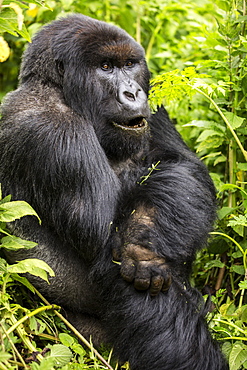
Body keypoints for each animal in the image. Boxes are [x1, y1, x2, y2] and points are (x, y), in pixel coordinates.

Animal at [0, 13, 229, 370]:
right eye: (105, 67)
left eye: (130, 64)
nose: (132, 93)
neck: (57, 89)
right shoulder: (52, 129)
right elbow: (107, 244)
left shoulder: (154, 103)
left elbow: (179, 163)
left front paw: (144, 238)